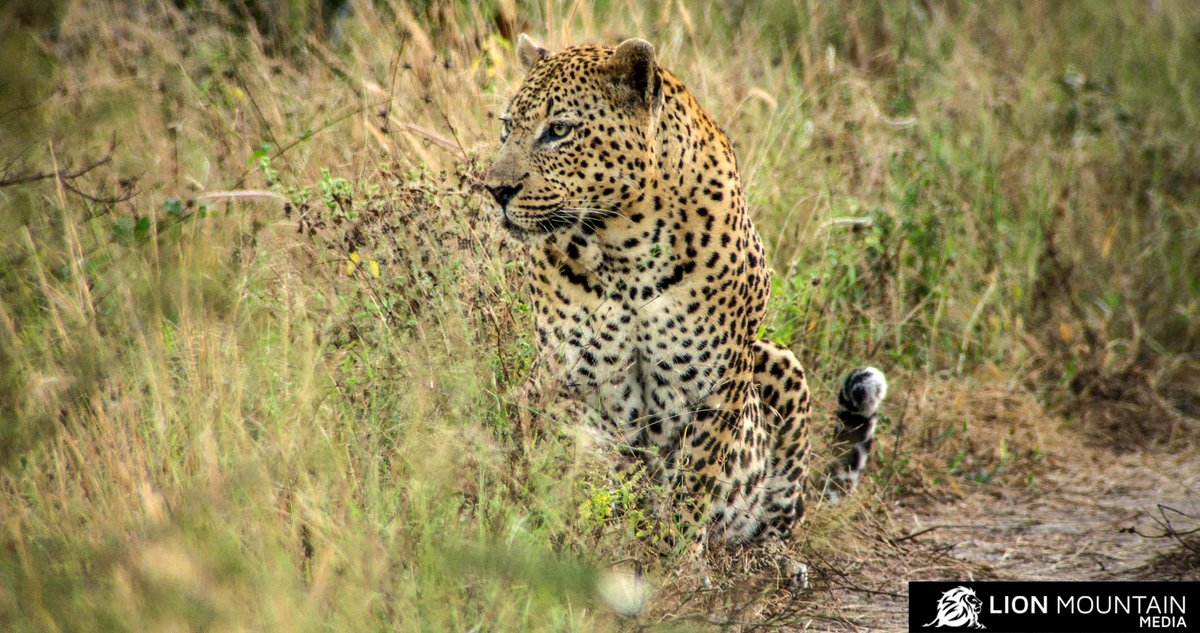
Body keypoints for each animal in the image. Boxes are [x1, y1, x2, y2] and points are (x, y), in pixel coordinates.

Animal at [483, 34, 887, 547]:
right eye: (507, 127)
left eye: (558, 129)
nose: (495, 189)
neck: (622, 246)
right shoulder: (566, 380)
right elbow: (594, 468)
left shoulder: (717, 383)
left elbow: (695, 481)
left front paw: (670, 555)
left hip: (778, 363)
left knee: (783, 513)